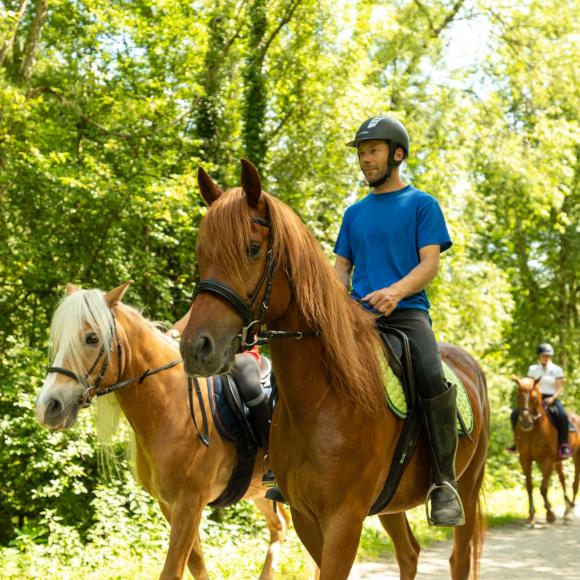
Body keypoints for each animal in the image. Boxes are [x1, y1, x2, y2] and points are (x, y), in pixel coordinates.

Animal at [36, 284, 290, 580]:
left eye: (92, 338)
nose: (47, 406)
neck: (172, 407)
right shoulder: (169, 505)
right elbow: (196, 565)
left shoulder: (190, 504)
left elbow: (173, 570)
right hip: (259, 492)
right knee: (280, 526)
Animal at [180, 160, 490, 580]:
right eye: (201, 254)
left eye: (252, 249)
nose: (196, 348)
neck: (324, 399)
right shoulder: (307, 517)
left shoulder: (344, 518)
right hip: (391, 505)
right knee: (409, 552)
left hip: (468, 489)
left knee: (460, 557)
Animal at [512, 376, 580, 524]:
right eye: (518, 395)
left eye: (534, 398)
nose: (526, 422)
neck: (533, 430)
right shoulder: (525, 459)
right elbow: (529, 486)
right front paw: (531, 516)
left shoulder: (547, 459)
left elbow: (543, 488)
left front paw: (550, 514)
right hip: (558, 461)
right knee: (563, 479)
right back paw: (567, 508)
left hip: (577, 457)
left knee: (575, 482)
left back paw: (570, 512)